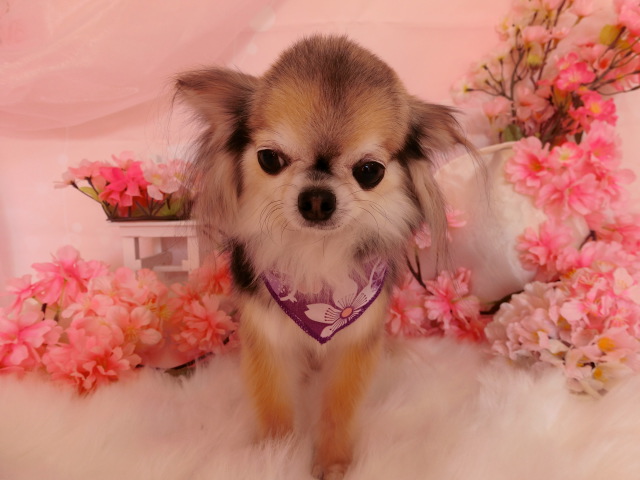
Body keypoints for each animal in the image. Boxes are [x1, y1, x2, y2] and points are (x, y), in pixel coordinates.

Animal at [176, 34, 472, 479]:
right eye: (270, 158)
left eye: (369, 171)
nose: (316, 198)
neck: (316, 253)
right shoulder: (267, 340)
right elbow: (274, 406)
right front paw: (275, 457)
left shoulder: (356, 343)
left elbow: (338, 408)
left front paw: (332, 463)